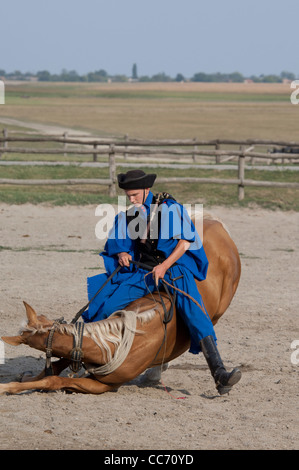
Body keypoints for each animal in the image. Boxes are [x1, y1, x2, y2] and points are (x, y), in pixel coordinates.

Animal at [0, 215, 241, 394]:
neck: (118, 342)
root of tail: (216, 224)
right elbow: (57, 367)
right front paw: (26, 377)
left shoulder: (104, 385)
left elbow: (55, 381)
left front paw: (9, 387)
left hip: (215, 312)